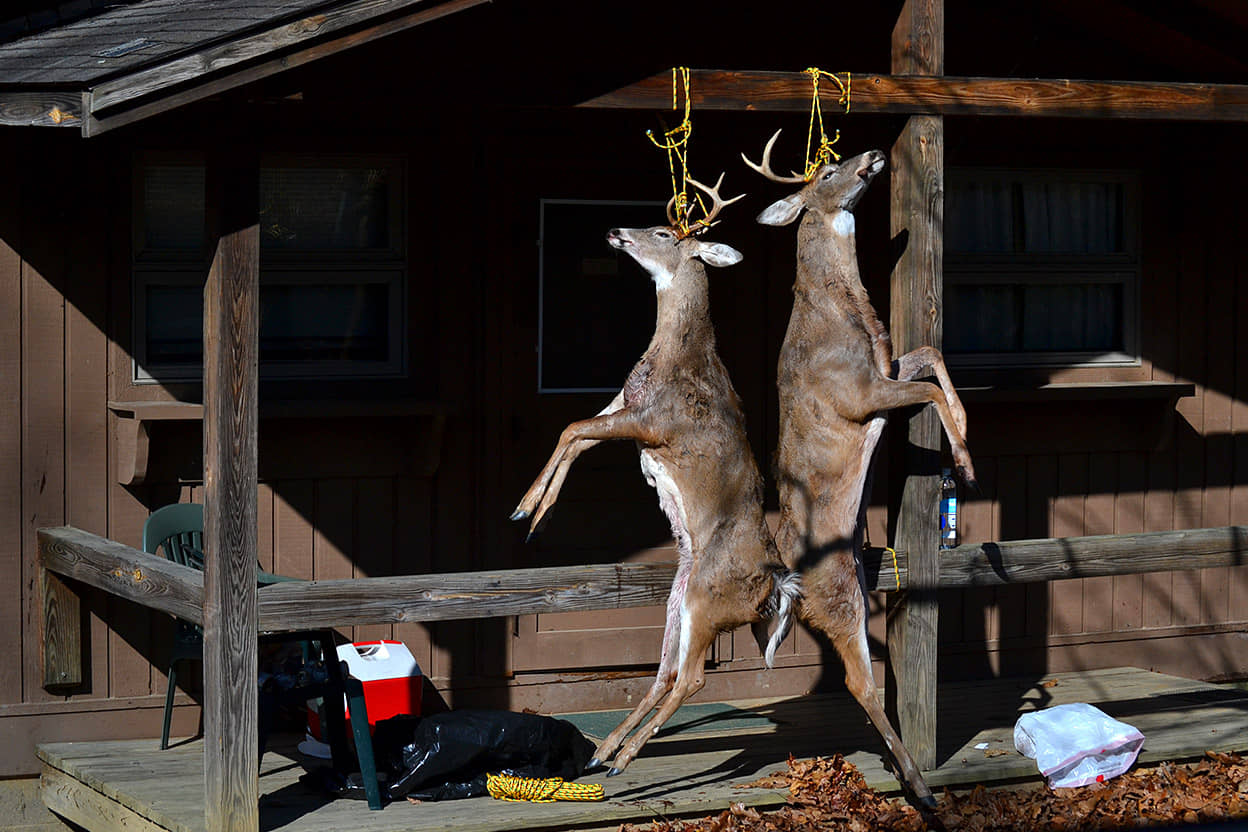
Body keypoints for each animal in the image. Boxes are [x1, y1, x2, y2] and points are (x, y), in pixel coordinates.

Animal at [511, 173, 801, 776]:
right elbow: (575, 436)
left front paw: (525, 510)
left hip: (708, 600)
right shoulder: (625, 407)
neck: (670, 358)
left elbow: (571, 428)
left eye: (665, 232)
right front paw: (533, 513)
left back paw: (623, 758)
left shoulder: (652, 422)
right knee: (665, 672)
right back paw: (604, 752)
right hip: (679, 597)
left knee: (691, 679)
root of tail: (775, 586)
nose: (615, 229)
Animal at [743, 130, 976, 808]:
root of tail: (788, 583)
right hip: (839, 595)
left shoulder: (886, 367)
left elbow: (929, 353)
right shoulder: (858, 393)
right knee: (857, 680)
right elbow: (926, 388)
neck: (843, 315)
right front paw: (965, 461)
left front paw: (967, 439)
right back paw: (920, 786)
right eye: (825, 172)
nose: (872, 154)